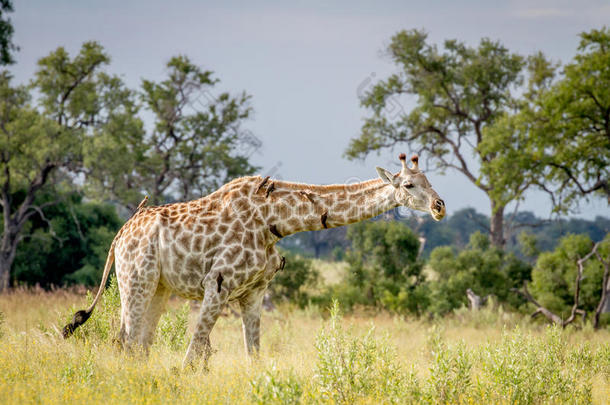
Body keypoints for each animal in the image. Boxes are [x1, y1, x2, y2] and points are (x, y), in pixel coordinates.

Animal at [63, 153, 442, 368]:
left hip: (158, 287)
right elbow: (192, 355)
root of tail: (119, 235)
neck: (275, 221)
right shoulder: (217, 284)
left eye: (429, 180)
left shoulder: (255, 292)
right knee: (125, 340)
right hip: (135, 280)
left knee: (140, 344)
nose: (440, 206)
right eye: (409, 185)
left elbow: (253, 356)